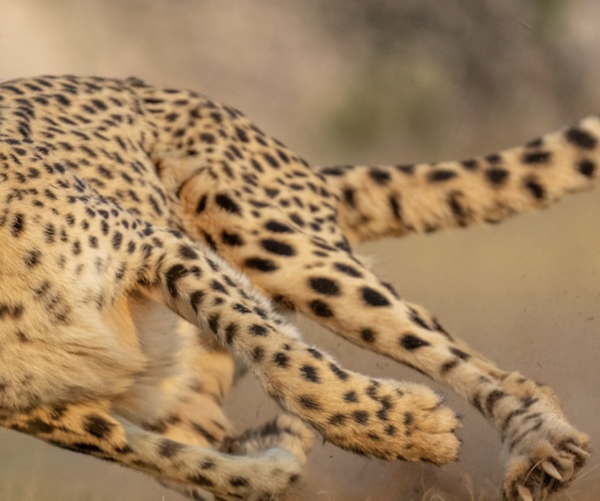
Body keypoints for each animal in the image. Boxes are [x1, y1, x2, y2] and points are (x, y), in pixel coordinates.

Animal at [0, 75, 596, 501]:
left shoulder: (159, 247)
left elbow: (287, 361)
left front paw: (407, 430)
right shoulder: (46, 414)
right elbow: (175, 461)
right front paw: (274, 454)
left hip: (272, 241)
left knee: (475, 363)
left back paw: (537, 445)